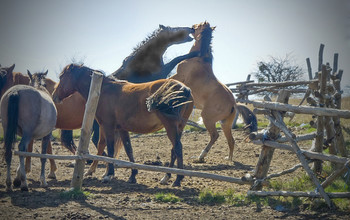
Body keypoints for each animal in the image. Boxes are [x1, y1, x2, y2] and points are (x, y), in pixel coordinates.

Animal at [52, 64, 194, 186]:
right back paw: (167, 177)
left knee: (178, 148)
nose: (54, 96)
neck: (104, 90)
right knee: (174, 149)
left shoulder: (108, 126)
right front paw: (132, 175)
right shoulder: (122, 129)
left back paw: (178, 179)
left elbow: (110, 148)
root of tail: (183, 88)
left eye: (61, 77)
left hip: (171, 126)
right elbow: (128, 149)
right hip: (179, 127)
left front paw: (108, 175)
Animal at [170, 21, 242, 162]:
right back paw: (228, 159)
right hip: (225, 124)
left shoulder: (179, 76)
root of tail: (232, 104)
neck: (199, 58)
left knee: (215, 135)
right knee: (231, 140)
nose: (191, 27)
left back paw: (200, 157)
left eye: (197, 25)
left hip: (207, 118)